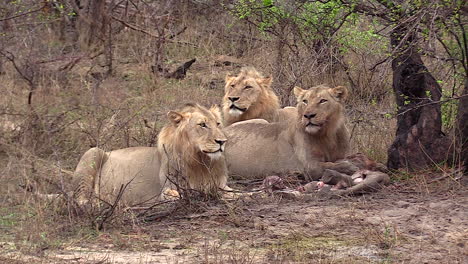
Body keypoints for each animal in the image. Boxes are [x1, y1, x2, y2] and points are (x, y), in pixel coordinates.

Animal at [73, 103, 232, 206]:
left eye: (218, 124)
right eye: (202, 125)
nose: (222, 141)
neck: (201, 160)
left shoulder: (221, 184)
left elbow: (231, 193)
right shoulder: (168, 189)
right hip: (93, 151)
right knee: (81, 199)